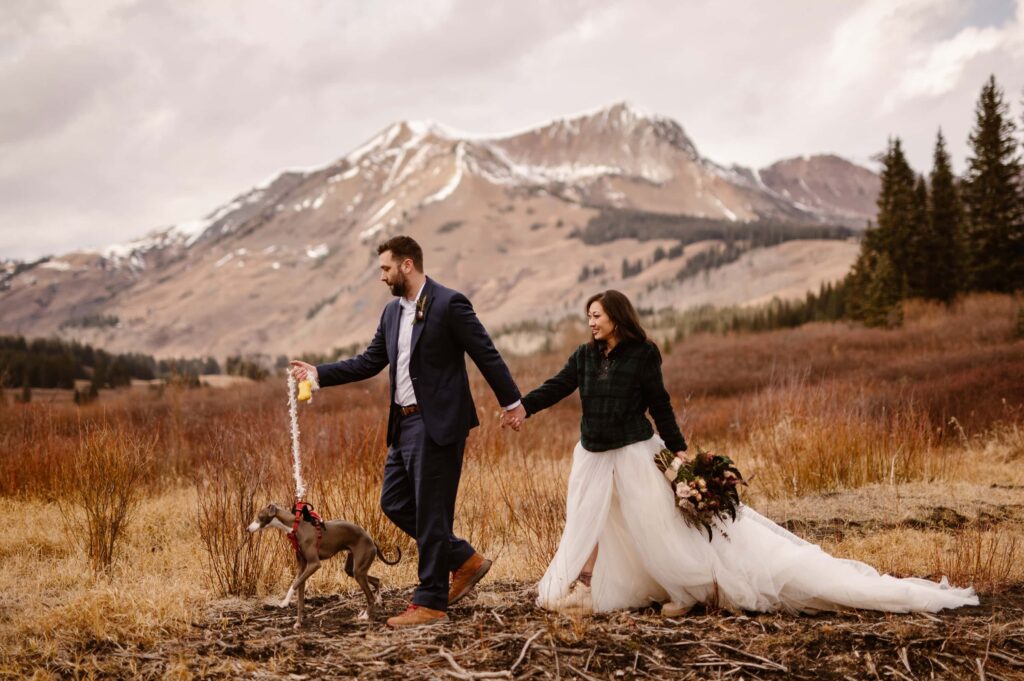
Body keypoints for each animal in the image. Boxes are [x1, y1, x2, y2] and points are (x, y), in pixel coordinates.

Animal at [245, 499, 401, 626]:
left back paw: (366, 616)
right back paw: (378, 602)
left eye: (259, 516)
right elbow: (299, 591)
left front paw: (284, 602)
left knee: (370, 597)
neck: (296, 527)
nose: (247, 529)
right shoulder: (303, 567)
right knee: (376, 580)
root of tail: (371, 539)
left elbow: (294, 584)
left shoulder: (314, 564)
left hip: (359, 571)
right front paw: (298, 623)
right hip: (353, 569)